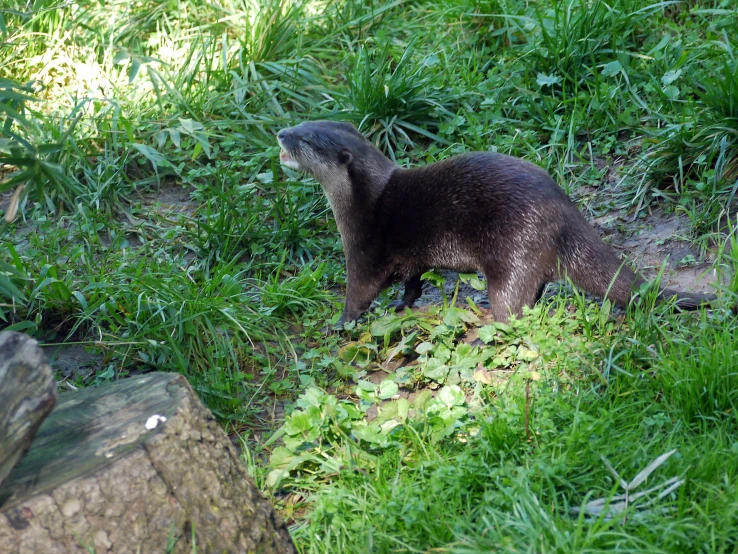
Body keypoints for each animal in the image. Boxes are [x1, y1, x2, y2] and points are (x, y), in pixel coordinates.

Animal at [276, 119, 712, 324]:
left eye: (306, 139)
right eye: (303, 124)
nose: (280, 132)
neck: (364, 198)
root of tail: (565, 213)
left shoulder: (365, 247)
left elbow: (360, 292)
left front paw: (340, 324)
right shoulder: (409, 260)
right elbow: (413, 282)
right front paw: (403, 305)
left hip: (513, 248)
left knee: (513, 308)